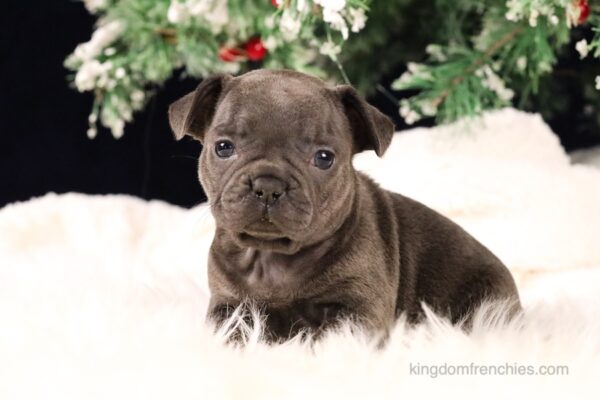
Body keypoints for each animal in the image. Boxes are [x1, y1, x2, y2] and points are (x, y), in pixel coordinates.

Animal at [169, 69, 520, 340]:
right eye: (223, 147)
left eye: (324, 158)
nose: (268, 186)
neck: (272, 258)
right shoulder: (228, 305)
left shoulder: (359, 310)